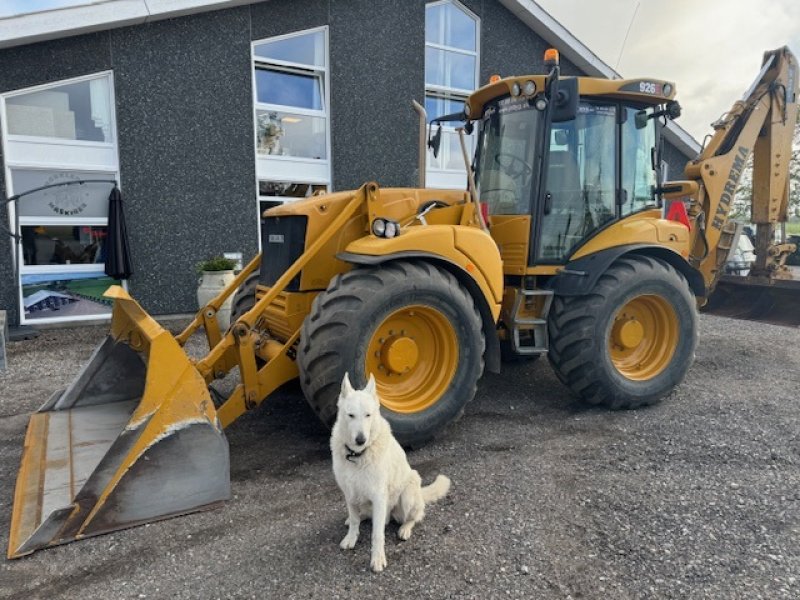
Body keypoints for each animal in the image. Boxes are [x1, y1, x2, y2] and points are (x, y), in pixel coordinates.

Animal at [330, 370, 450, 572]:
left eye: (368, 415)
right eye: (351, 415)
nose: (361, 440)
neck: (358, 455)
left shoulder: (379, 497)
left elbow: (377, 534)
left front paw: (377, 558)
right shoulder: (350, 493)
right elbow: (354, 521)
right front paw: (351, 537)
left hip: (407, 496)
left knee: (415, 516)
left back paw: (405, 529)